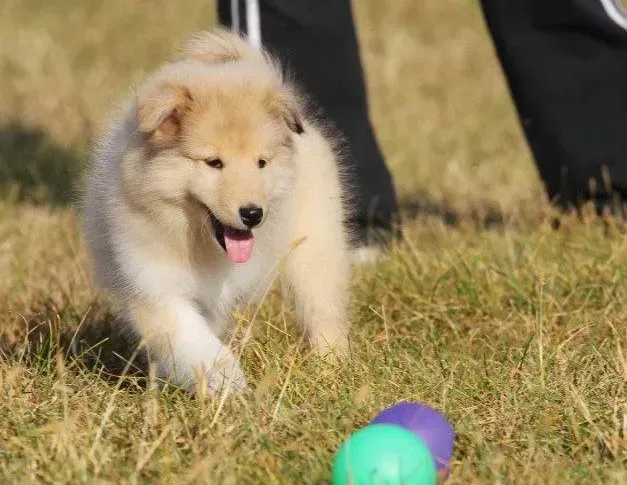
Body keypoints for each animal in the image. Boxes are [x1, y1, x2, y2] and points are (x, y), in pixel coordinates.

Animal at [81, 28, 350, 394]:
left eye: (261, 163)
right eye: (213, 163)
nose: (253, 213)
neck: (197, 244)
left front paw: (225, 386)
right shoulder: (152, 284)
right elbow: (192, 339)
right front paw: (225, 381)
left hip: (315, 248)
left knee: (323, 308)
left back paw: (331, 368)